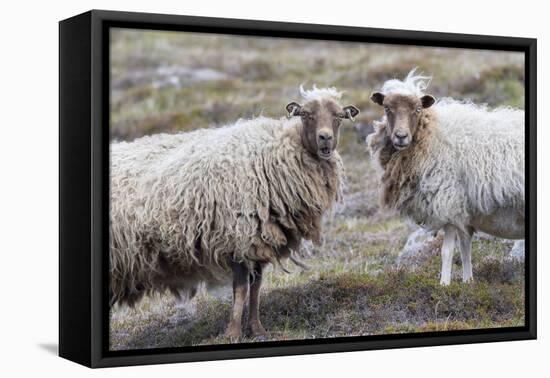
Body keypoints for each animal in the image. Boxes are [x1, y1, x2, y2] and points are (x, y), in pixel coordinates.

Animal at [111, 86, 362, 340]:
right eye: (306, 115)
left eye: (339, 116)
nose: (325, 138)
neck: (276, 153)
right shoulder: (238, 238)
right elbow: (240, 289)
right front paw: (233, 333)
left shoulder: (259, 242)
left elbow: (256, 287)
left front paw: (257, 329)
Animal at [366, 69, 528, 284]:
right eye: (387, 108)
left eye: (418, 109)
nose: (401, 136)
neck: (430, 134)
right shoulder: (462, 211)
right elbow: (465, 248)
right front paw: (468, 282)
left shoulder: (447, 202)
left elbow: (447, 251)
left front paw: (444, 284)